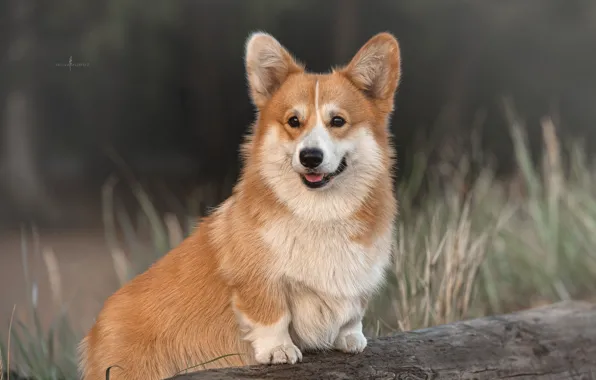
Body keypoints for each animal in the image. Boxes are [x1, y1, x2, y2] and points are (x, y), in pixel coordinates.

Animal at [79, 31, 400, 380]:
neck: (319, 212)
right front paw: (278, 350)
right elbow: (272, 315)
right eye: (294, 121)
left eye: (337, 121)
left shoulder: (358, 277)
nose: (310, 157)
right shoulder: (258, 279)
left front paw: (350, 337)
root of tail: (94, 331)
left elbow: (353, 311)